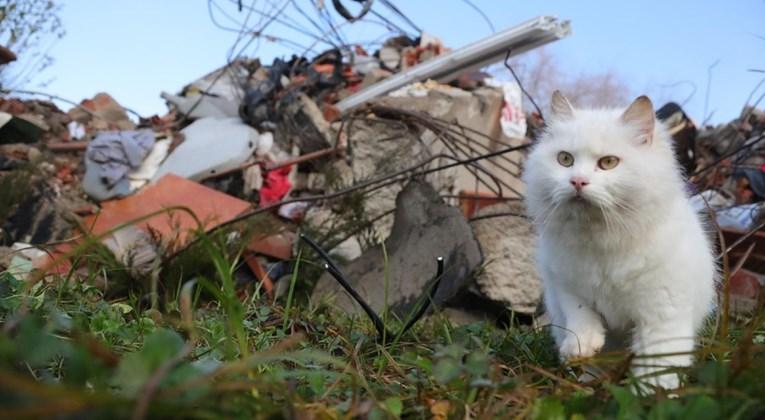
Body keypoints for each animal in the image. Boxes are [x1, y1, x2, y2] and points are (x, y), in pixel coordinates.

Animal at [524, 92, 712, 390]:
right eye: (565, 159)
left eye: (609, 163)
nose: (577, 181)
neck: (602, 238)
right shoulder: (567, 287)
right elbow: (581, 317)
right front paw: (581, 347)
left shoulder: (660, 315)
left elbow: (658, 368)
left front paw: (651, 395)